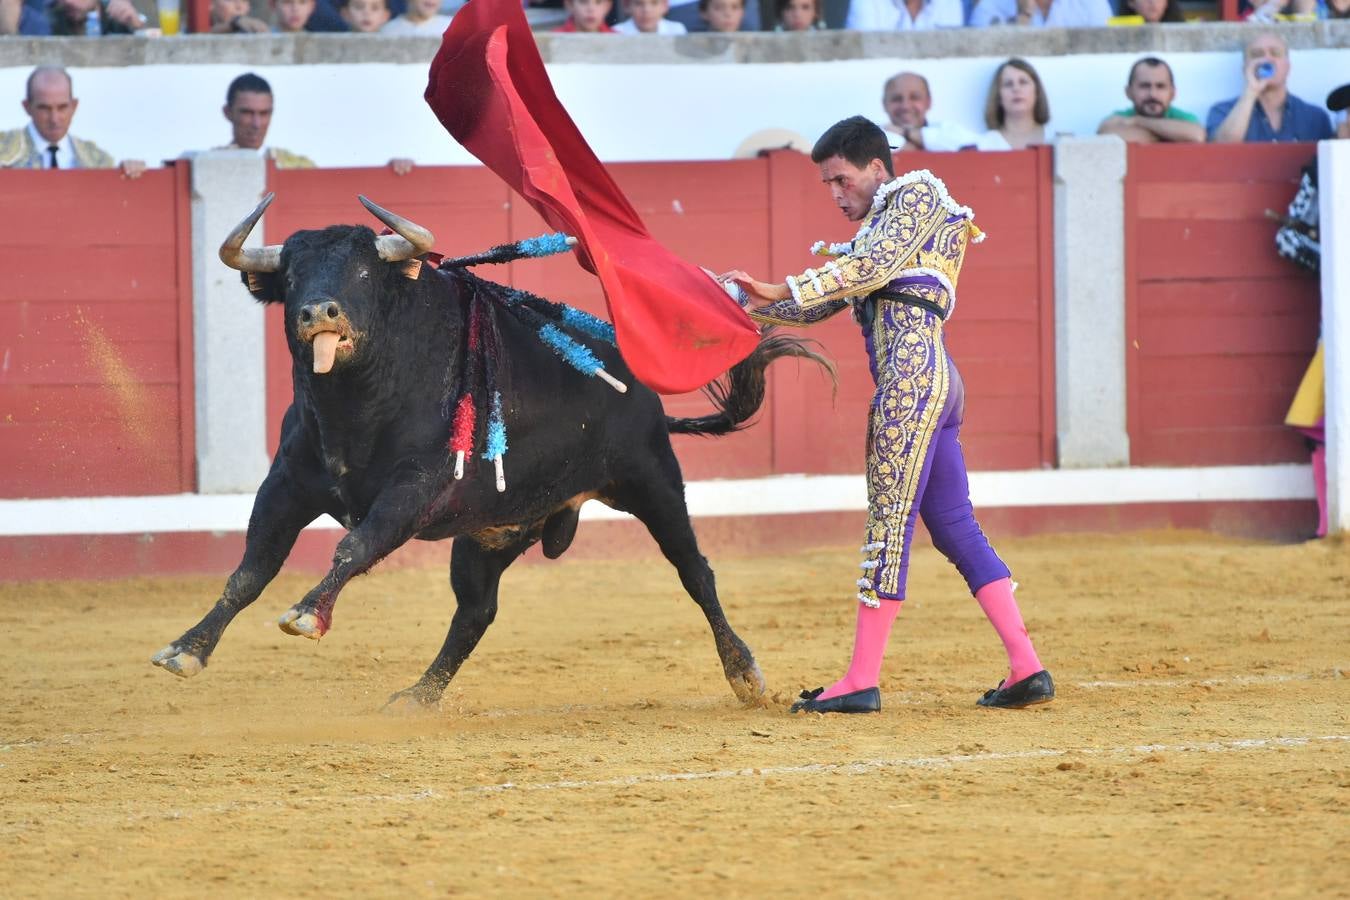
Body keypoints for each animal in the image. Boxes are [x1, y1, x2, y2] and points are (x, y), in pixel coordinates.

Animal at [155, 197, 831, 712]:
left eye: (365, 274)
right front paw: (186, 648)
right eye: (291, 276)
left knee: (696, 572)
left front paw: (305, 615)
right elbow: (251, 569)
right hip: (489, 532)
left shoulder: (414, 489)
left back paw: (745, 674)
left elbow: (352, 546)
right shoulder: (289, 485)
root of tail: (642, 388)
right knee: (477, 611)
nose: (319, 311)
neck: (355, 404)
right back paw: (417, 695)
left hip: (653, 482)